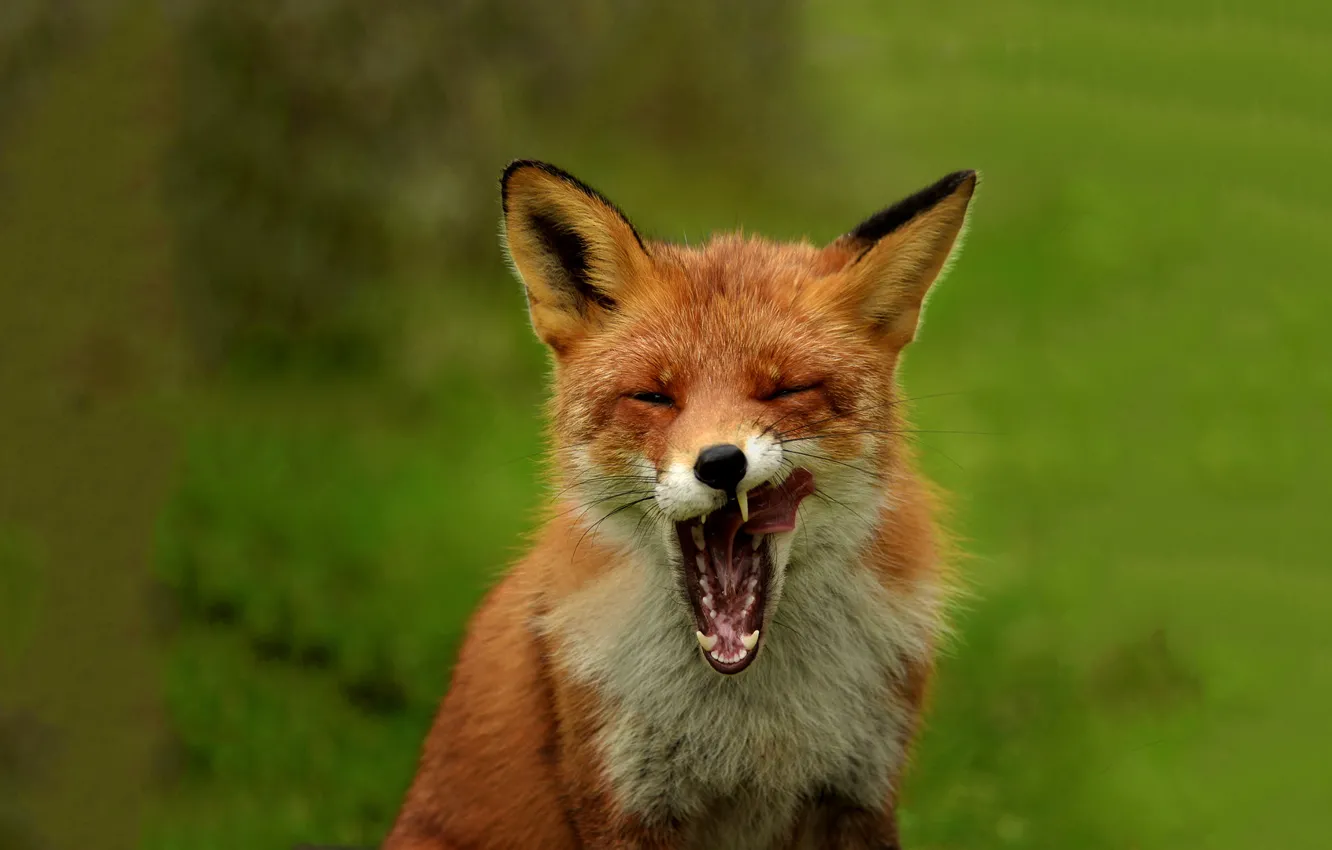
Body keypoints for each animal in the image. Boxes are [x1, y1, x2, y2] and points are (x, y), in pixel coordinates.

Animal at [383, 160, 978, 850]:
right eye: (654, 396)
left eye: (786, 389)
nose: (720, 463)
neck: (750, 720)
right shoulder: (623, 802)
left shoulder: (860, 792)